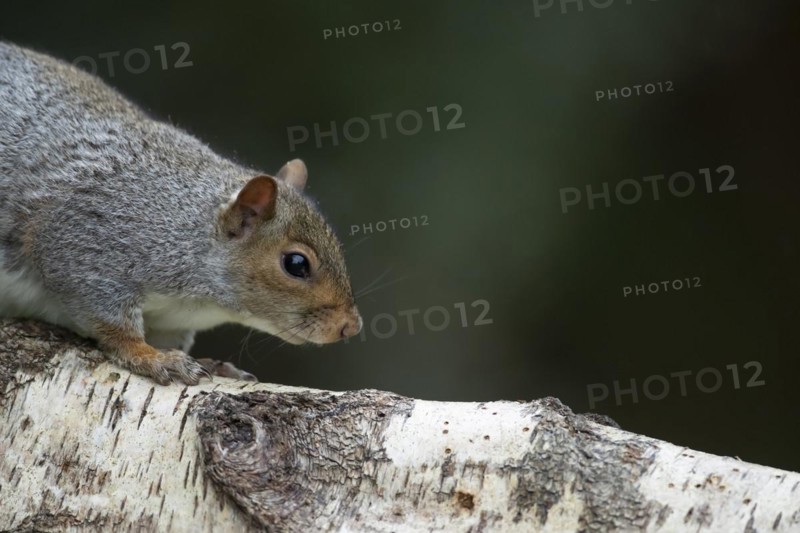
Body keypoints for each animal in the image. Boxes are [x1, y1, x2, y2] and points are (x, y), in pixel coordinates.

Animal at [0, 42, 362, 385]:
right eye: (296, 264)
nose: (351, 327)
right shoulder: (85, 246)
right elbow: (111, 324)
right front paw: (152, 357)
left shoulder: (172, 321)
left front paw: (212, 364)